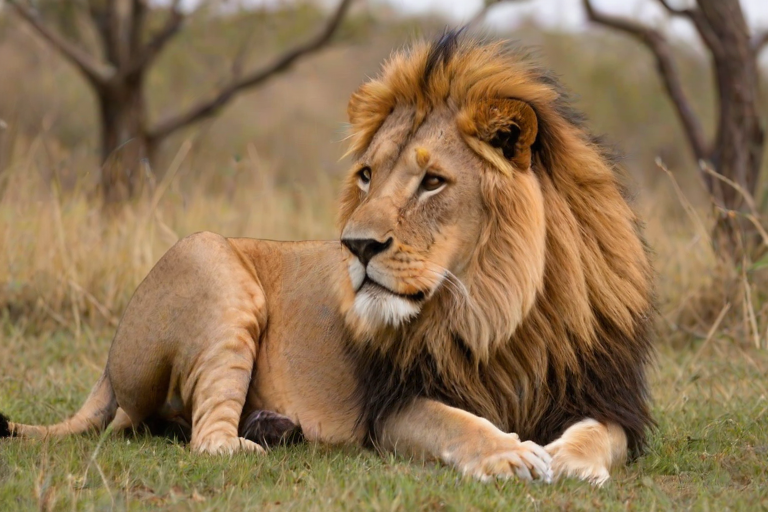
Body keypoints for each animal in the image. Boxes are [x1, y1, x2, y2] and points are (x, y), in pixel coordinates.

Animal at [1, 32, 654, 485]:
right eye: (367, 176)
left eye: (433, 182)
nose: (357, 246)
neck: (497, 307)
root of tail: (109, 364)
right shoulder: (393, 405)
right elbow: (458, 423)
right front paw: (511, 454)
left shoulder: (610, 395)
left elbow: (599, 434)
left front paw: (565, 459)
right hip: (207, 259)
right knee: (199, 435)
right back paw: (251, 442)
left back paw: (274, 428)